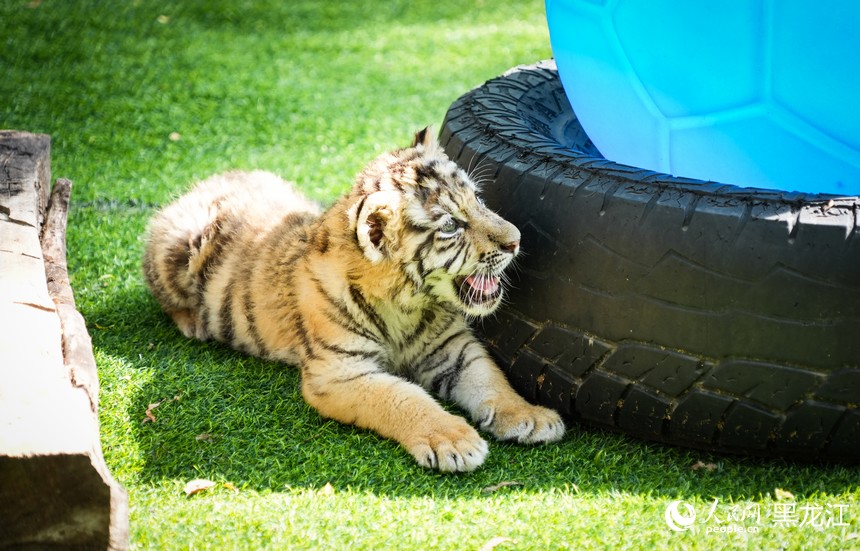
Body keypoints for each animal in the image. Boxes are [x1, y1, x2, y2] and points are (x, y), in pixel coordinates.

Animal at [142, 128, 565, 472]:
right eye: (450, 225)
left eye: (477, 199)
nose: (516, 241)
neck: (409, 305)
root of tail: (213, 178)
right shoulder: (341, 373)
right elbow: (403, 397)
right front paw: (453, 439)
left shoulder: (453, 348)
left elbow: (491, 379)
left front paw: (530, 416)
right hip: (175, 244)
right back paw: (192, 323)